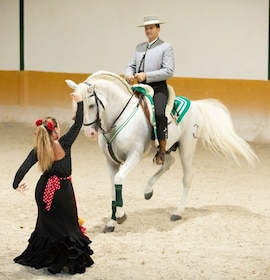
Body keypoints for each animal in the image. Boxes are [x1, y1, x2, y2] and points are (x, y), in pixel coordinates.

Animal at [66, 71, 258, 233]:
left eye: (91, 105)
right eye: (76, 105)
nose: (90, 133)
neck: (118, 118)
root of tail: (195, 105)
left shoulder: (133, 156)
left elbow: (119, 180)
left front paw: (120, 217)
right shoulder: (110, 162)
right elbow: (114, 187)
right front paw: (112, 222)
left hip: (187, 148)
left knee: (187, 178)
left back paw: (177, 212)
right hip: (165, 149)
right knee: (168, 162)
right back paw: (148, 190)